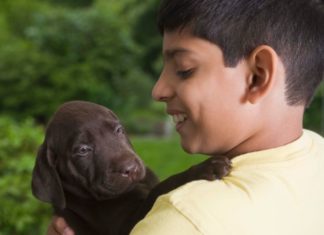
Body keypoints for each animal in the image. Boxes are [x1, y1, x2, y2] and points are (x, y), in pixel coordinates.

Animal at [31, 101, 230, 235]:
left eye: (118, 130)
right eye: (83, 150)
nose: (130, 168)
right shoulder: (126, 225)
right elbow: (159, 189)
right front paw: (203, 168)